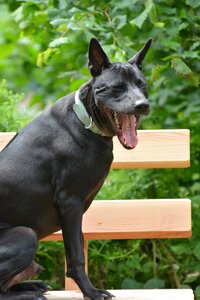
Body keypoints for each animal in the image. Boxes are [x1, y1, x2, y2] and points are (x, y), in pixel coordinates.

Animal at [0, 38, 152, 300]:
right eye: (116, 87)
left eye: (141, 84)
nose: (142, 105)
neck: (87, 122)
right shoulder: (70, 202)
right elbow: (77, 257)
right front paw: (90, 291)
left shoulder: (76, 210)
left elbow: (77, 246)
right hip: (25, 235)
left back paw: (31, 286)